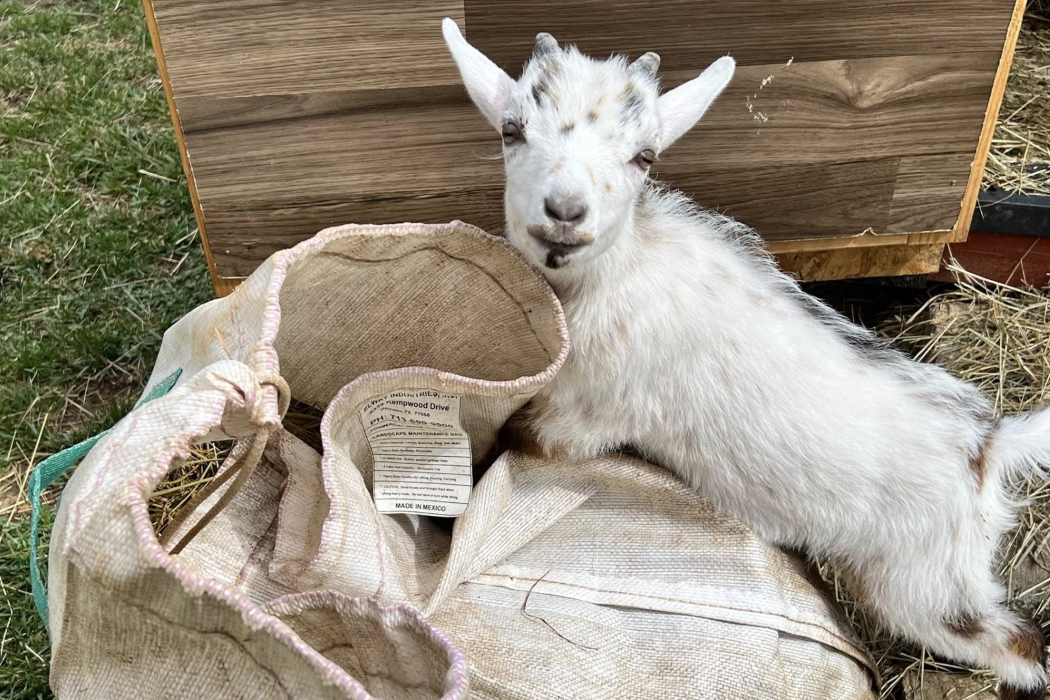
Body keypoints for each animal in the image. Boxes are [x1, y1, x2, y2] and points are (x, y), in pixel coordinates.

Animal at [442, 19, 1050, 699]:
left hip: (925, 584)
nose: (565, 214)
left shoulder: (581, 415)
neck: (616, 274)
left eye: (644, 156)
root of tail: (988, 445)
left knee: (1016, 642)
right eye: (511, 129)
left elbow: (516, 442)